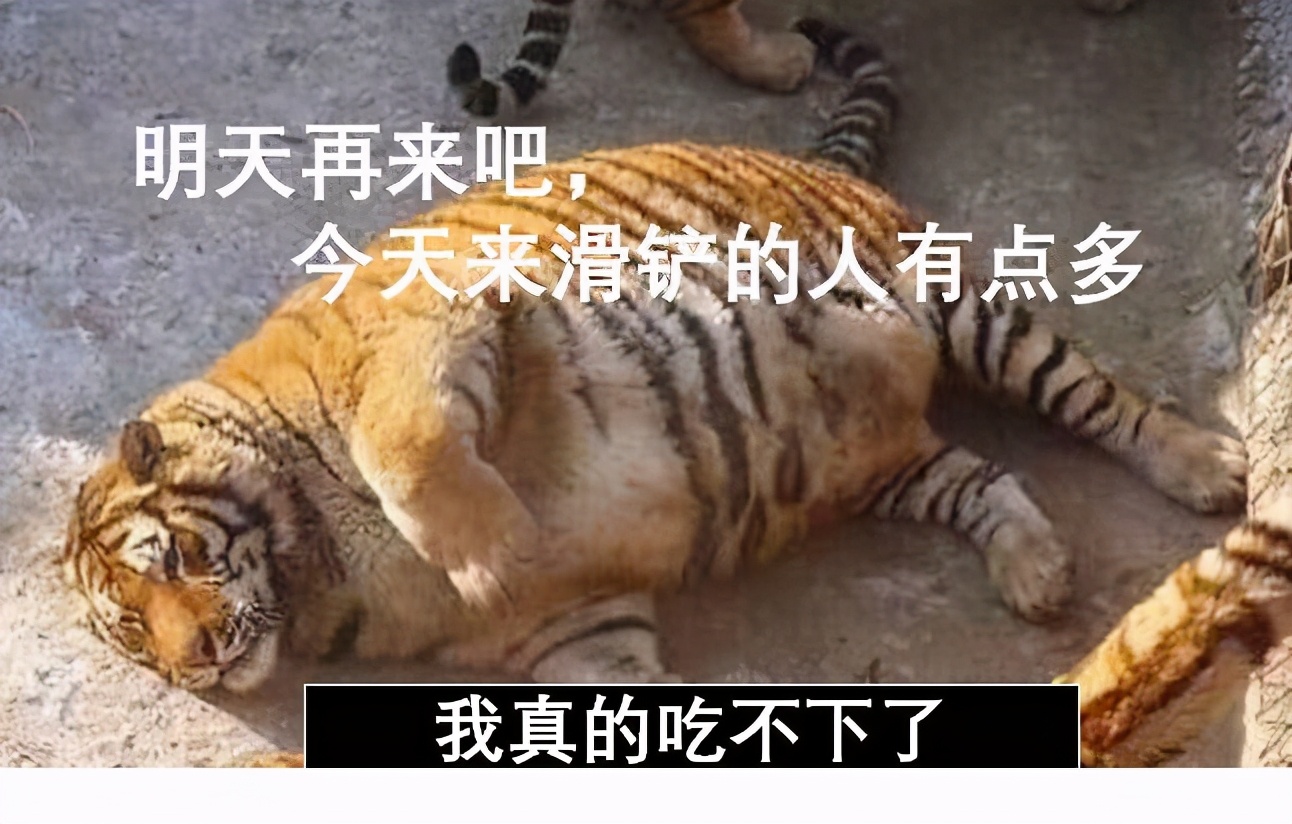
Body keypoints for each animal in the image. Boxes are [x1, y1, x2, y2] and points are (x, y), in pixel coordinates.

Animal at [63, 18, 1242, 702]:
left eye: (169, 560)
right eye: (133, 629)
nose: (195, 664)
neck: (315, 571)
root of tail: (810, 157)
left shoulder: (429, 323)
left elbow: (409, 445)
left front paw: (495, 547)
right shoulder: (570, 629)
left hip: (954, 305)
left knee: (1099, 400)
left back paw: (1210, 468)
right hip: (885, 465)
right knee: (981, 476)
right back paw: (1037, 573)